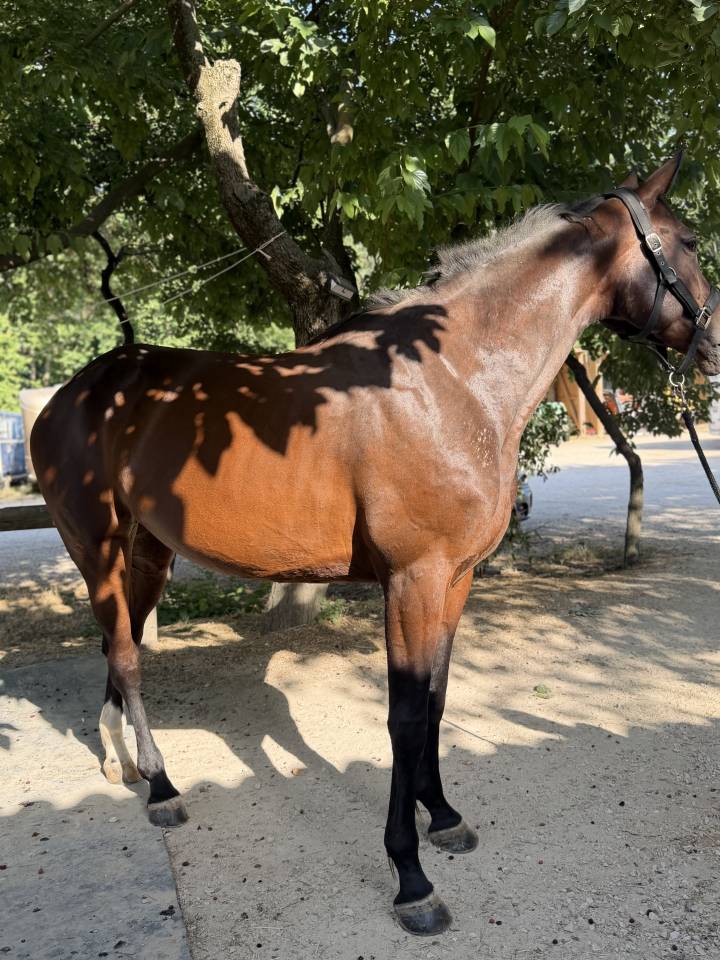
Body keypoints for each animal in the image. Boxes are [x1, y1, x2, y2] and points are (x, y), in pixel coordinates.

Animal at [31, 155, 720, 935]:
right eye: (690, 242)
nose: (715, 345)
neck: (452, 381)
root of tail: (74, 391)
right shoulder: (411, 579)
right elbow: (404, 717)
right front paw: (411, 878)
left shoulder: (455, 579)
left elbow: (438, 702)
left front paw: (443, 817)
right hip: (98, 550)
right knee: (126, 657)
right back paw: (161, 788)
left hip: (148, 554)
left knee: (120, 652)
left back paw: (120, 761)